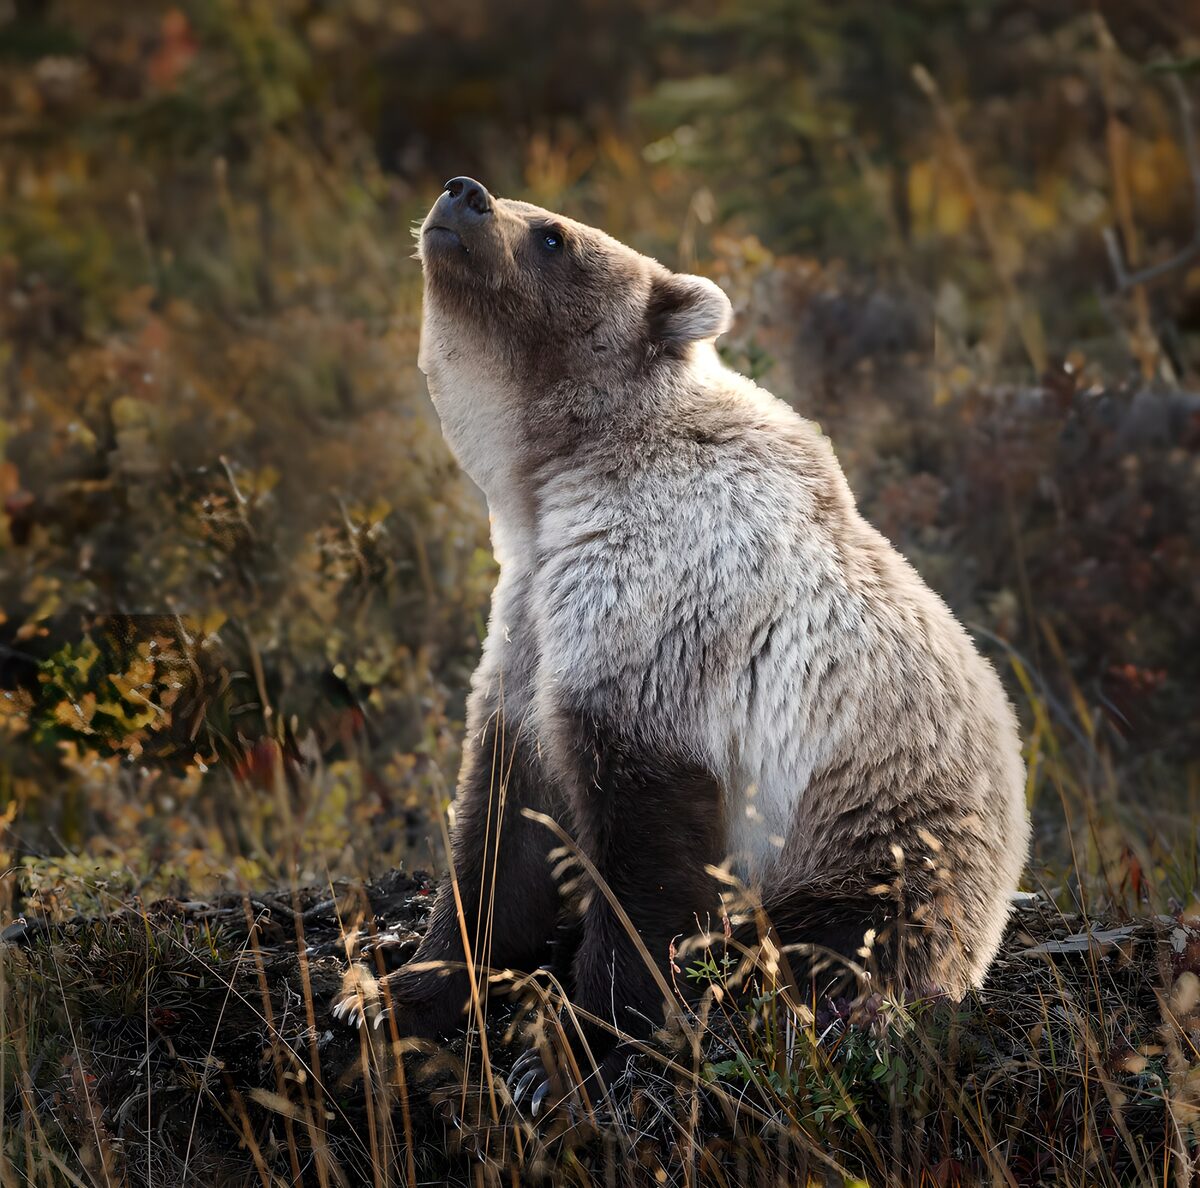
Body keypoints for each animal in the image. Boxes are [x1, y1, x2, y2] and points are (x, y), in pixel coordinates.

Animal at [334, 176, 1030, 1105]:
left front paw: (563, 1049)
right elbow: (498, 830)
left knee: (844, 942)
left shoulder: (663, 617)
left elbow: (648, 854)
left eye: (554, 235)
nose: (464, 192)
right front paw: (390, 991)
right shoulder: (528, 623)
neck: (560, 476)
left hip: (881, 842)